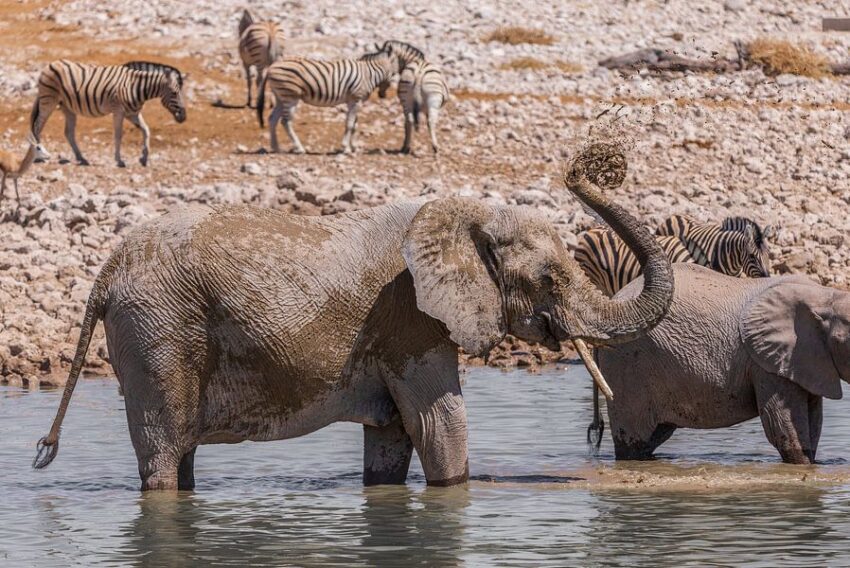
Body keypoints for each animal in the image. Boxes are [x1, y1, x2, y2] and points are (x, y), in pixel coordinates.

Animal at [31, 59, 186, 166]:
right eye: (174, 93)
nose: (184, 117)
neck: (135, 86)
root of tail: (50, 64)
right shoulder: (119, 111)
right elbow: (118, 135)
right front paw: (119, 160)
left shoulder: (132, 113)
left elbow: (146, 130)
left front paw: (144, 157)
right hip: (48, 101)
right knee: (37, 127)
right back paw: (40, 156)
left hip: (68, 107)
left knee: (68, 132)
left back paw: (82, 158)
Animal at [31, 143, 668, 492]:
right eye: (550, 280)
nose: (587, 167)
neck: (463, 211)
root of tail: (105, 273)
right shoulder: (410, 318)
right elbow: (440, 424)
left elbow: (394, 437)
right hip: (158, 332)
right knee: (164, 451)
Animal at [256, 44, 400, 154]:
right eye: (397, 69)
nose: (382, 95)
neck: (369, 74)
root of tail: (271, 67)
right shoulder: (355, 99)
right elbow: (349, 124)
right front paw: (346, 148)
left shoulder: (354, 101)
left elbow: (354, 124)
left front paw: (354, 147)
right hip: (290, 96)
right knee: (286, 121)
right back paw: (299, 148)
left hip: (280, 96)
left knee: (272, 119)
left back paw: (276, 148)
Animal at [596, 264, 848, 464]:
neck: (826, 297)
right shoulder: (766, 364)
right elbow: (782, 427)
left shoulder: (805, 361)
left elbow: (813, 421)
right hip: (626, 365)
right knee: (633, 440)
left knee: (654, 436)